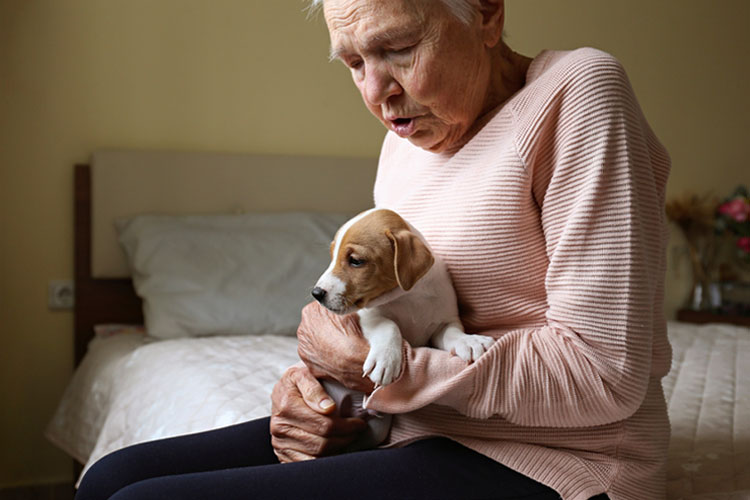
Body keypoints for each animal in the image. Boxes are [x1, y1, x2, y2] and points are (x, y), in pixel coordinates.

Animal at [314, 207, 496, 386]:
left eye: (356, 261)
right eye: (332, 256)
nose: (316, 293)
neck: (407, 297)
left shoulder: (443, 322)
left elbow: (452, 332)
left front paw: (469, 341)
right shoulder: (370, 318)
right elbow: (389, 325)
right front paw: (385, 358)